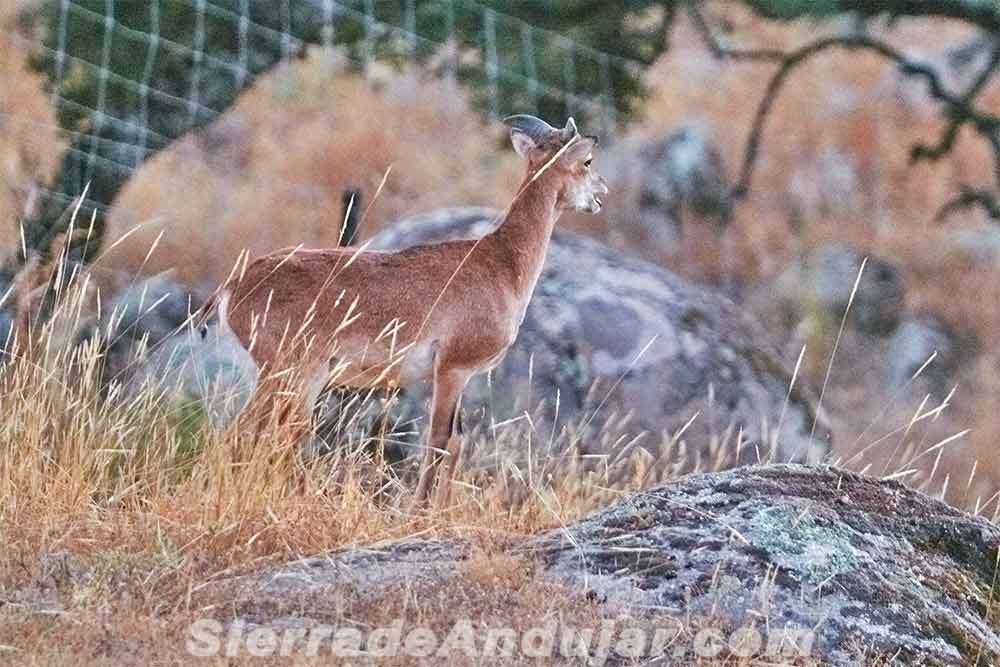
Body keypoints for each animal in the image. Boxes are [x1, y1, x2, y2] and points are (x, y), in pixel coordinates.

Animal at [206, 115, 608, 506]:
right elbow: (439, 442)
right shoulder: (452, 370)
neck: (500, 262)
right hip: (292, 377)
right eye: (587, 161)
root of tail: (235, 285)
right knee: (245, 435)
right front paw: (419, 512)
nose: (601, 193)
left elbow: (455, 444)